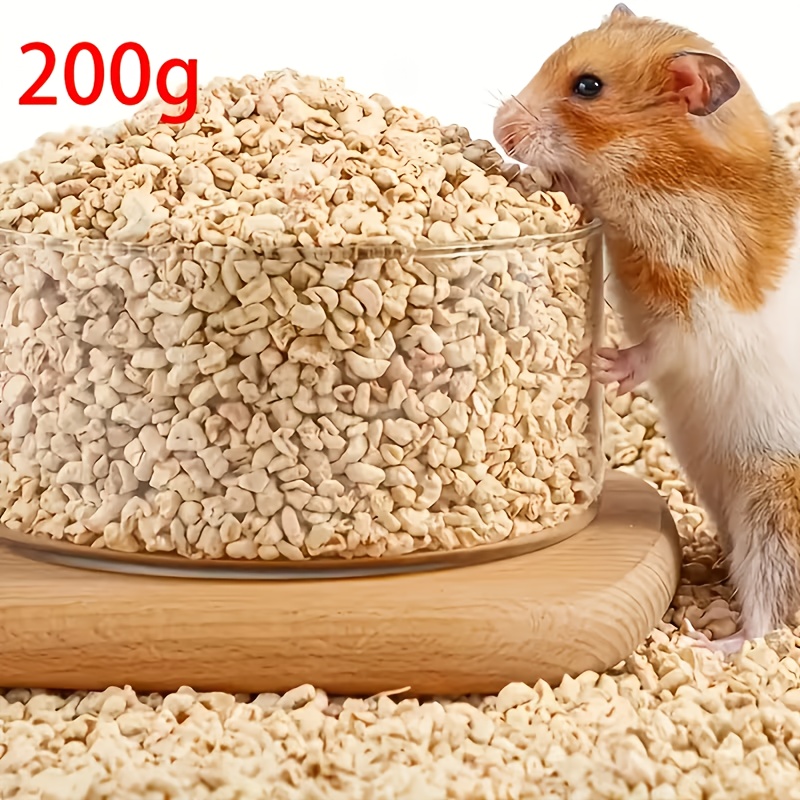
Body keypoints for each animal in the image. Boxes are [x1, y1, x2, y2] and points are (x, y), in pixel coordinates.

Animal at [493, 4, 800, 654]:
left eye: (588, 86)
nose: (498, 127)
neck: (665, 179)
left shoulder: (701, 310)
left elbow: (659, 350)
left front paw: (602, 365)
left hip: (772, 505)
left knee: (771, 613)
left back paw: (707, 643)